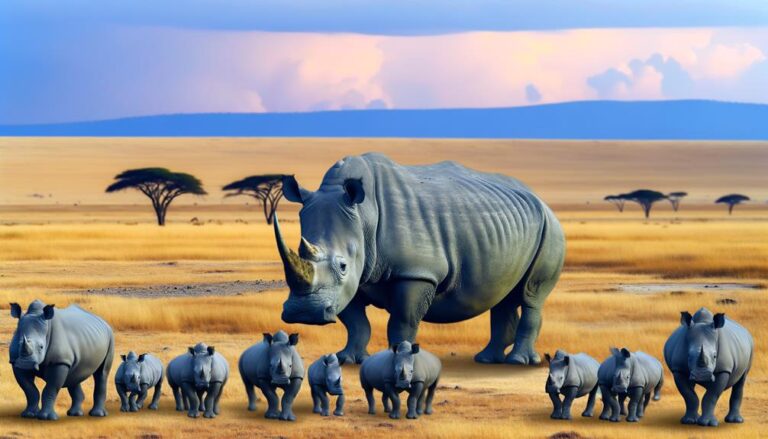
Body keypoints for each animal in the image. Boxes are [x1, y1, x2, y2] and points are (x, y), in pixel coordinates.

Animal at [275, 153, 565, 365]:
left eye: (343, 265)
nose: (304, 312)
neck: (364, 216)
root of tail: (540, 198)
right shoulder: (357, 277)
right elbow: (356, 322)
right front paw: (348, 360)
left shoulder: (416, 271)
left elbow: (403, 321)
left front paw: (397, 361)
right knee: (504, 296)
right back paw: (486, 360)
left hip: (550, 227)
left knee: (530, 295)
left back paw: (517, 362)